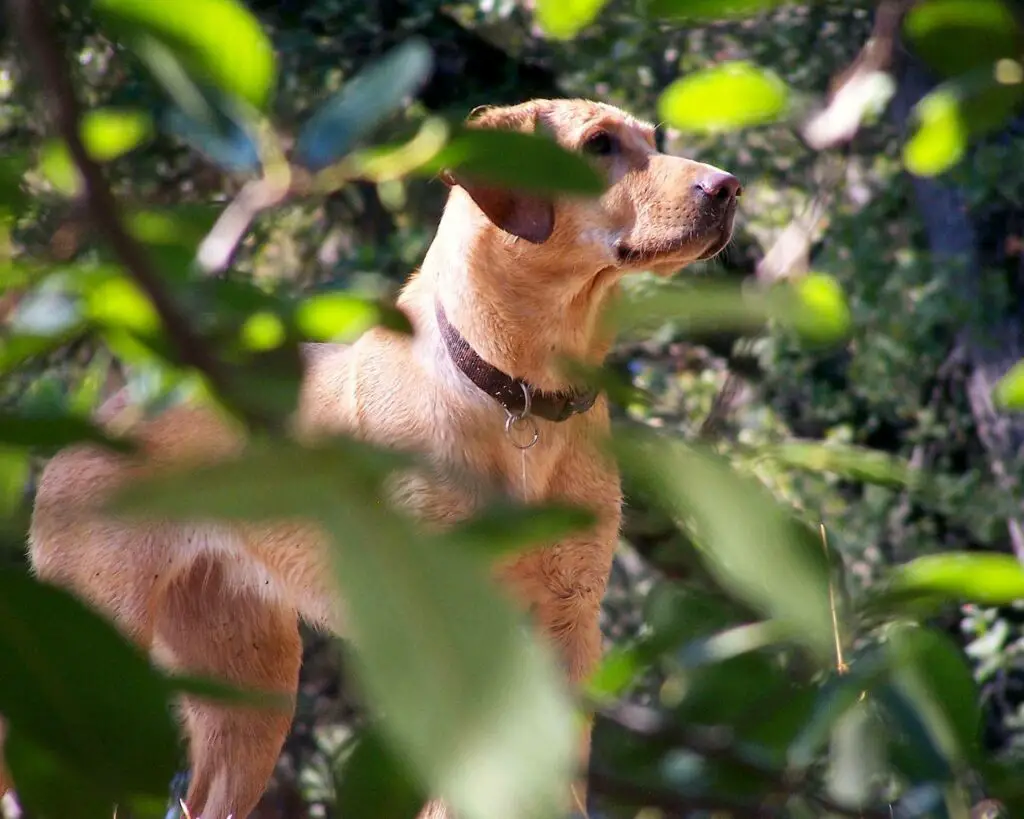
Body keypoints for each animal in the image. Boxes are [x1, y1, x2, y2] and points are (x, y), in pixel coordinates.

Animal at [0, 97, 741, 818]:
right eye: (599, 145)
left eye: (652, 139)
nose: (729, 187)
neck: (520, 392)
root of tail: (94, 421)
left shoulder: (569, 627)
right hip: (84, 657)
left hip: (251, 684)